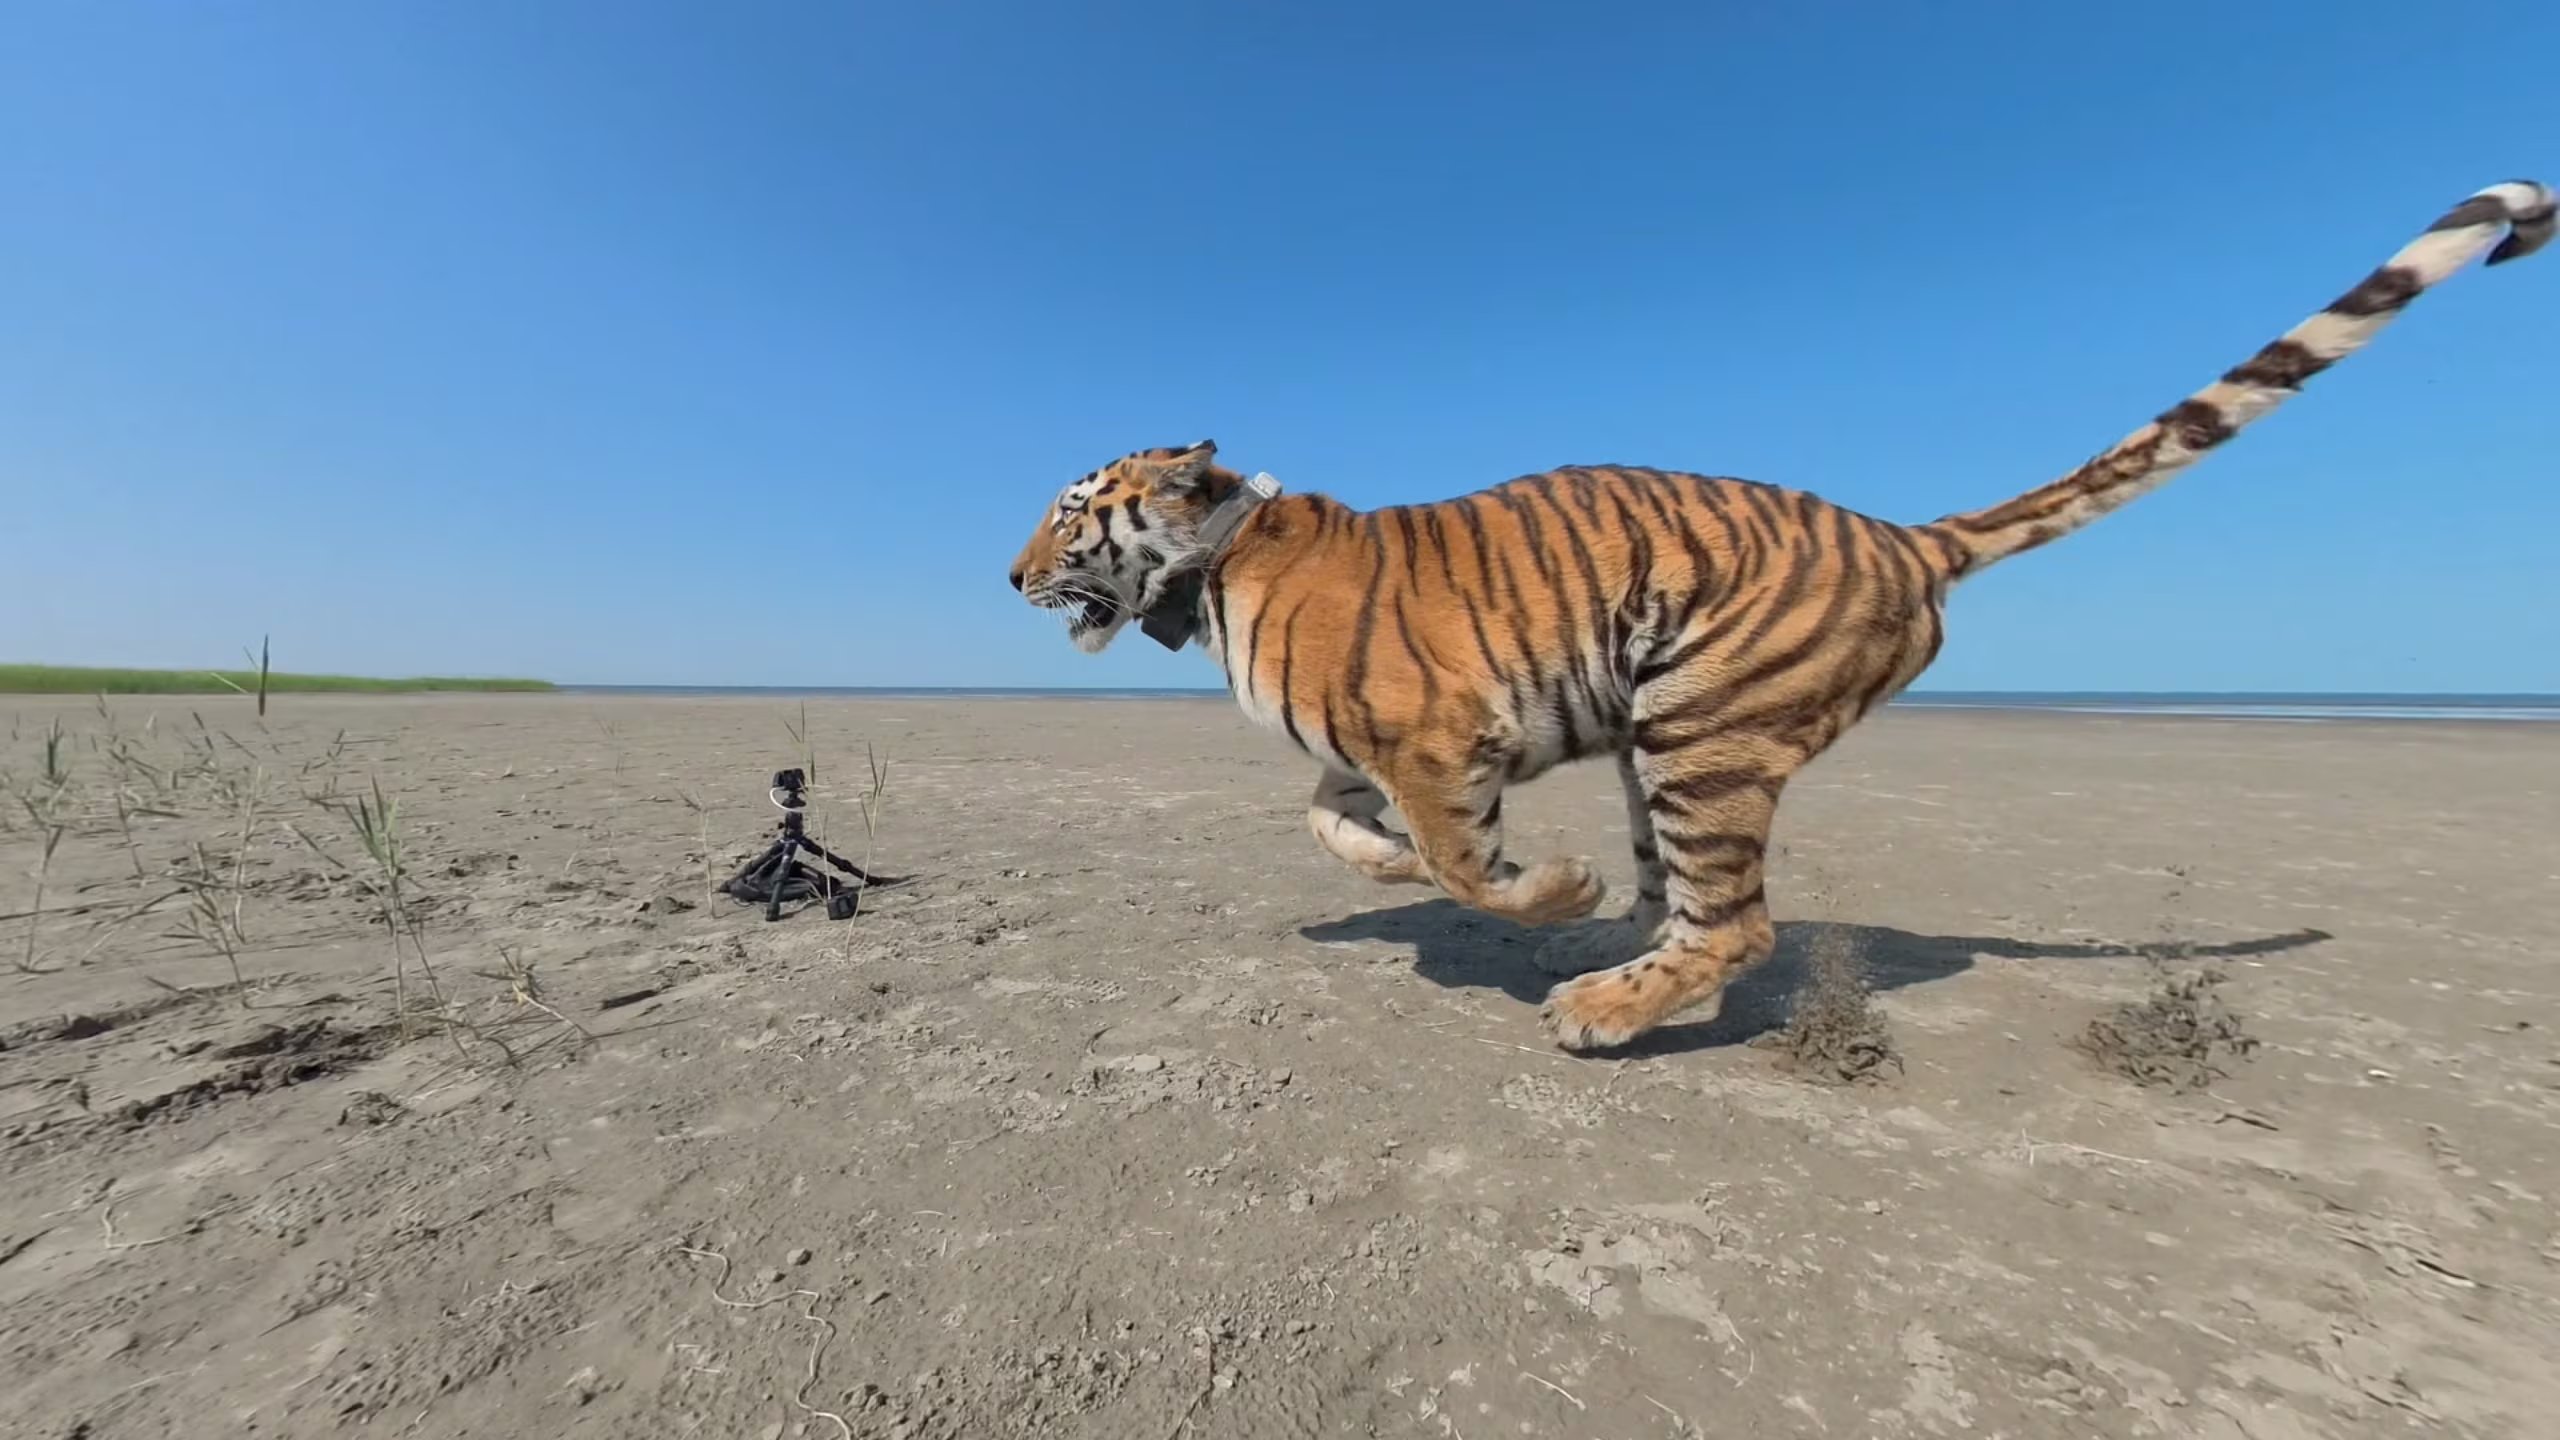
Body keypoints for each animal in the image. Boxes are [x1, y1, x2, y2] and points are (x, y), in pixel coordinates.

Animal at [1007, 179, 2552, 1053]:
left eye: (1071, 512)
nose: (1009, 578)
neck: (1213, 571)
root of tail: (1901, 533)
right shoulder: (1366, 753)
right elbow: (1340, 829)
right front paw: (1401, 872)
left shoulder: (1441, 741)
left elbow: (1462, 862)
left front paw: (1536, 893)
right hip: (1661, 737)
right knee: (1690, 904)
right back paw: (1610, 963)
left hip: (1701, 728)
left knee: (1738, 923)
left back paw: (1596, 1004)